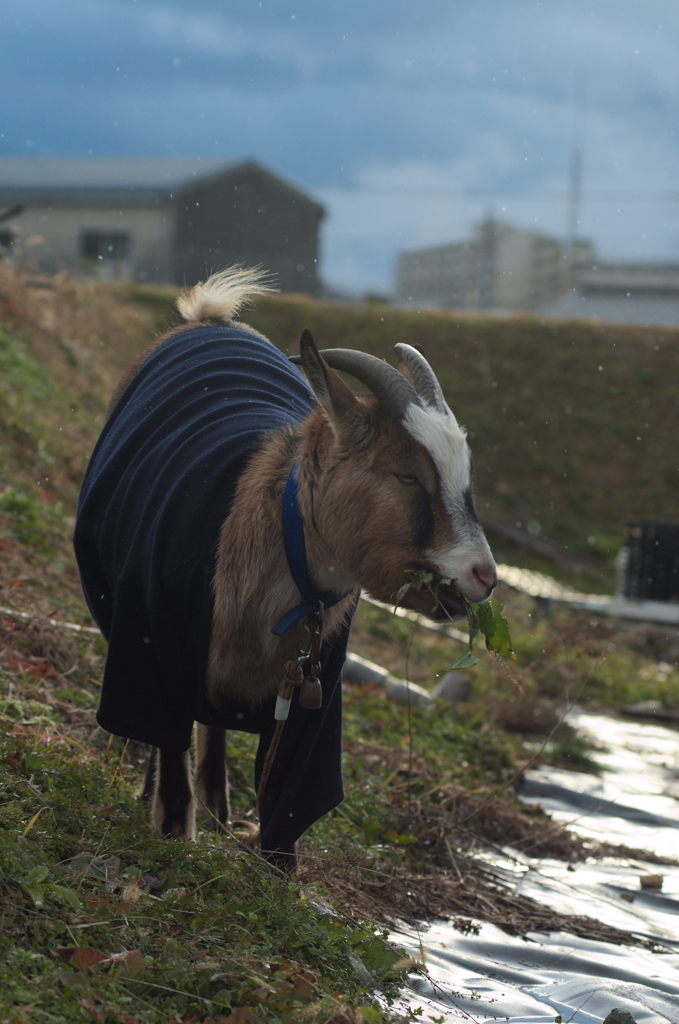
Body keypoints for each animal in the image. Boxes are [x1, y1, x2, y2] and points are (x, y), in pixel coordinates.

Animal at [75, 268, 499, 868]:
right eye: (408, 476)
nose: (484, 576)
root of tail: (210, 320)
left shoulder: (317, 686)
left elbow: (293, 790)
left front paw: (276, 870)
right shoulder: (153, 640)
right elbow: (164, 732)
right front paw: (175, 837)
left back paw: (219, 808)